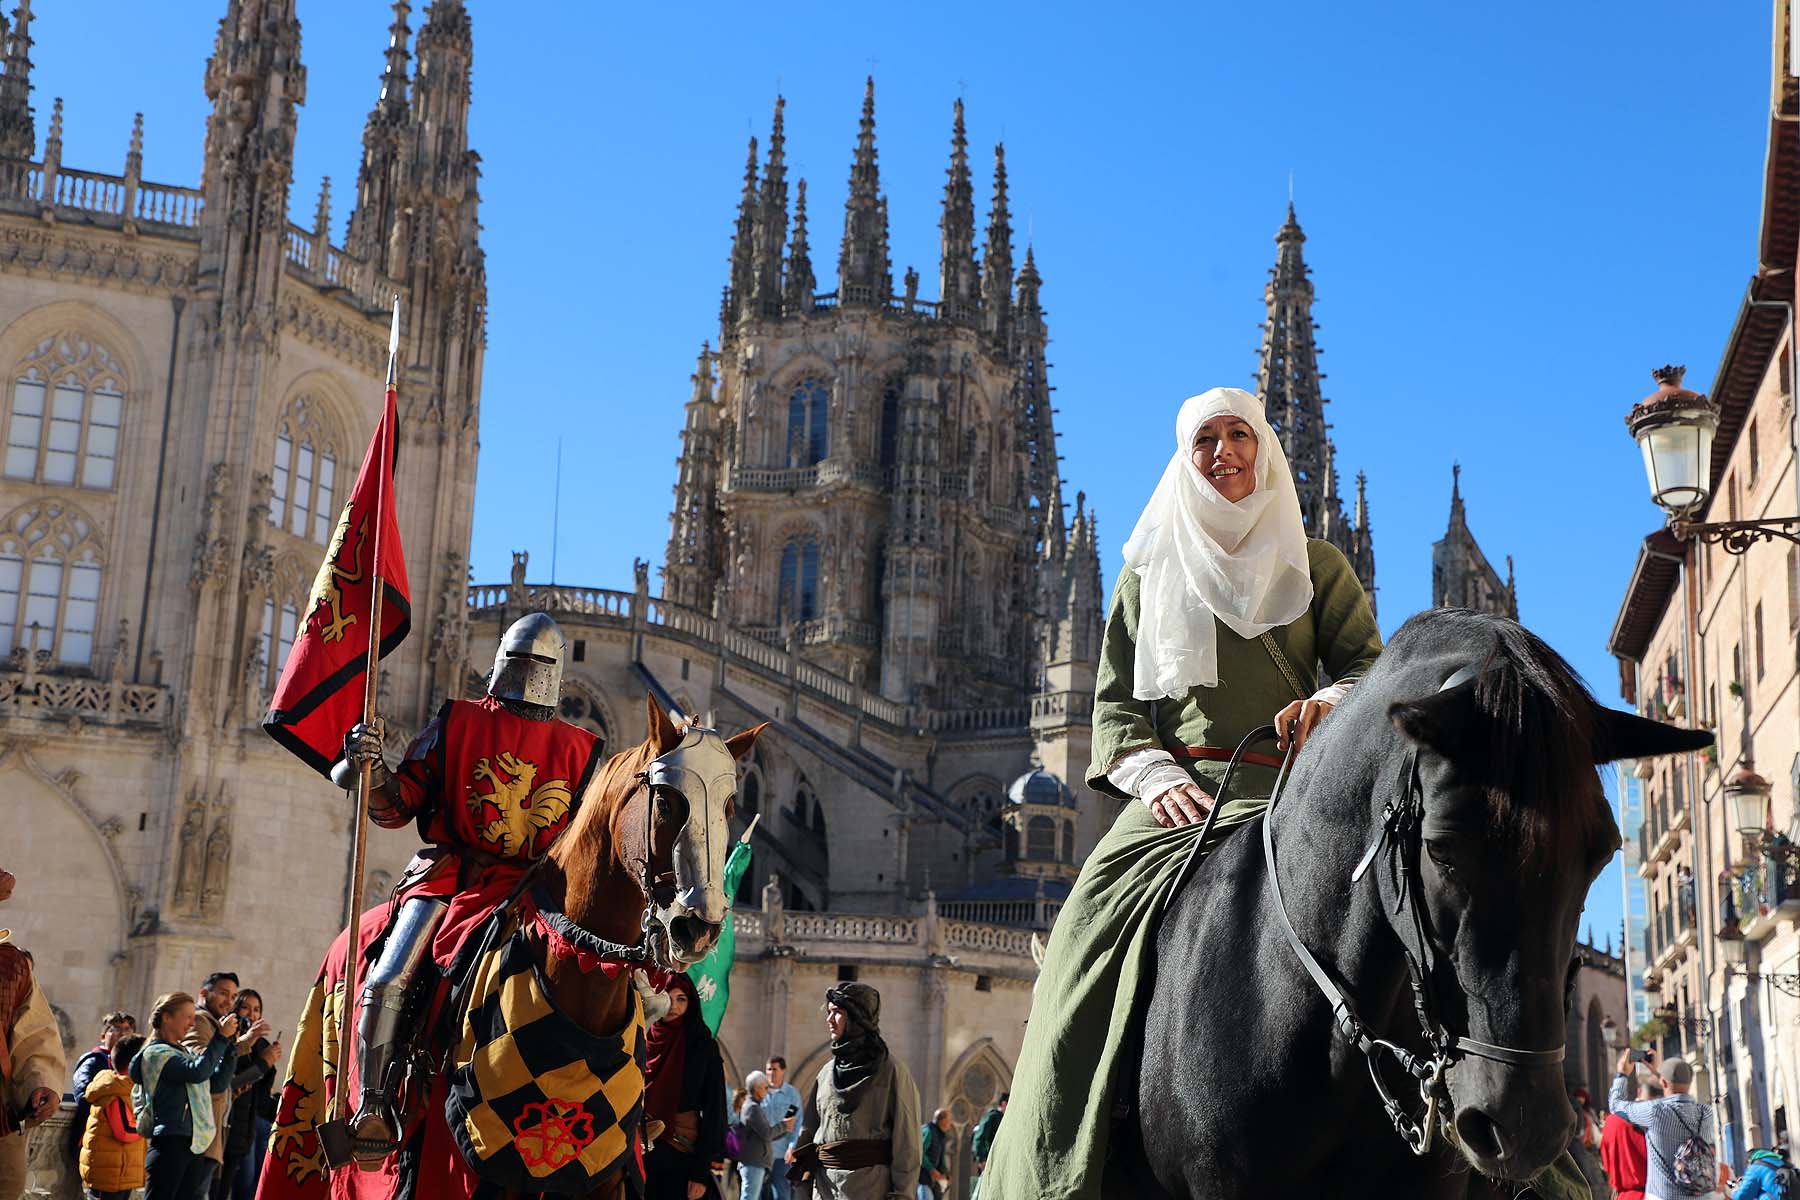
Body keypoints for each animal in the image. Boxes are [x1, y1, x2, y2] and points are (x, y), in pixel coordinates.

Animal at [255, 694, 759, 1200]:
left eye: (730, 806)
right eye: (668, 803)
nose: (697, 927)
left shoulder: (602, 1173)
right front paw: (366, 750)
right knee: (388, 987)